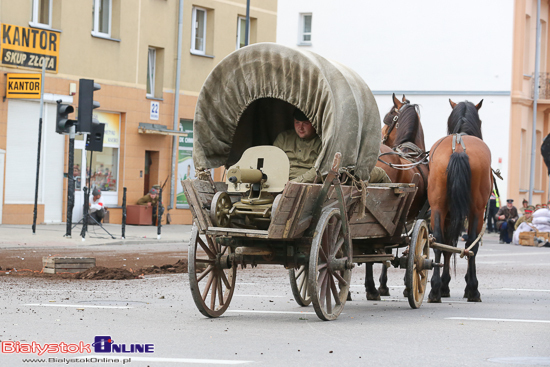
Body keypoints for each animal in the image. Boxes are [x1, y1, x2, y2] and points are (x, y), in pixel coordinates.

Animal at [430, 99, 494, 304]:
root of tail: (458, 148)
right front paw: (466, 286)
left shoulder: (447, 212)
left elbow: (447, 246)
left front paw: (442, 285)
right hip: (476, 210)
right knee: (471, 244)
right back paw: (473, 290)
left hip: (438, 207)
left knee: (438, 240)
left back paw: (434, 290)